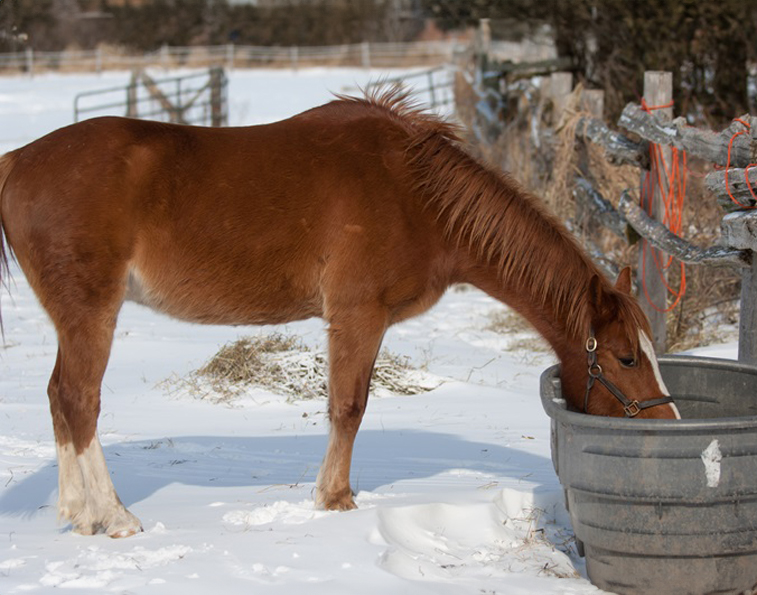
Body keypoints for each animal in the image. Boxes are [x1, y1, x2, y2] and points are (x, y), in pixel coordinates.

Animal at [0, 89, 680, 540]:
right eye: (625, 357)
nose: (667, 423)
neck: (415, 195)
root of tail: (17, 160)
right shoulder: (358, 315)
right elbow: (348, 406)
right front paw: (336, 501)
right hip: (92, 312)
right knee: (79, 399)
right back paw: (113, 517)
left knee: (60, 398)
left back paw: (76, 513)